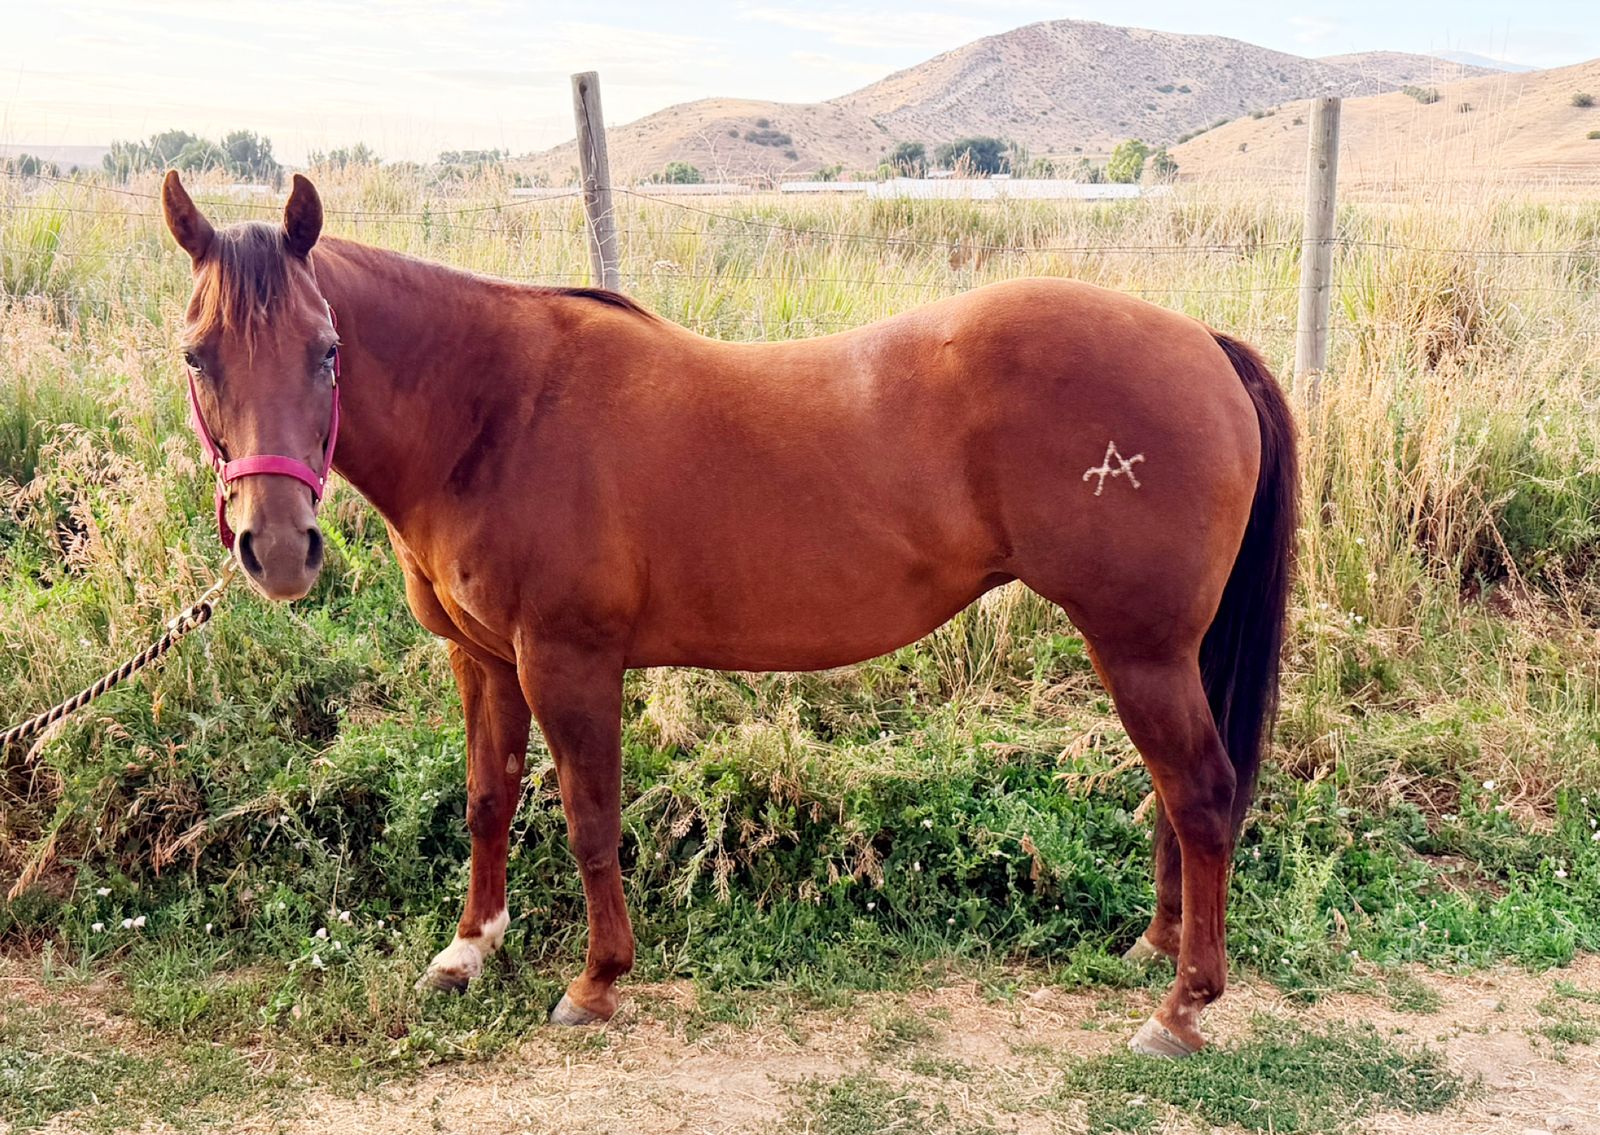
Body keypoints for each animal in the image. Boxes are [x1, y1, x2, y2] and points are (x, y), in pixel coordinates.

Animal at [159, 171, 1296, 1057]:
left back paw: (1182, 1008)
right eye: (195, 353)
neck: (497, 410)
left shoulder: (567, 659)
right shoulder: (481, 661)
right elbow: (489, 799)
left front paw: (596, 980)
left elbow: (588, 817)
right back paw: (1156, 948)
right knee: (1175, 797)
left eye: (327, 349)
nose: (275, 546)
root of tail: (1201, 343)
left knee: (1200, 794)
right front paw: (469, 947)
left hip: (1140, 648)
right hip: (1159, 651)